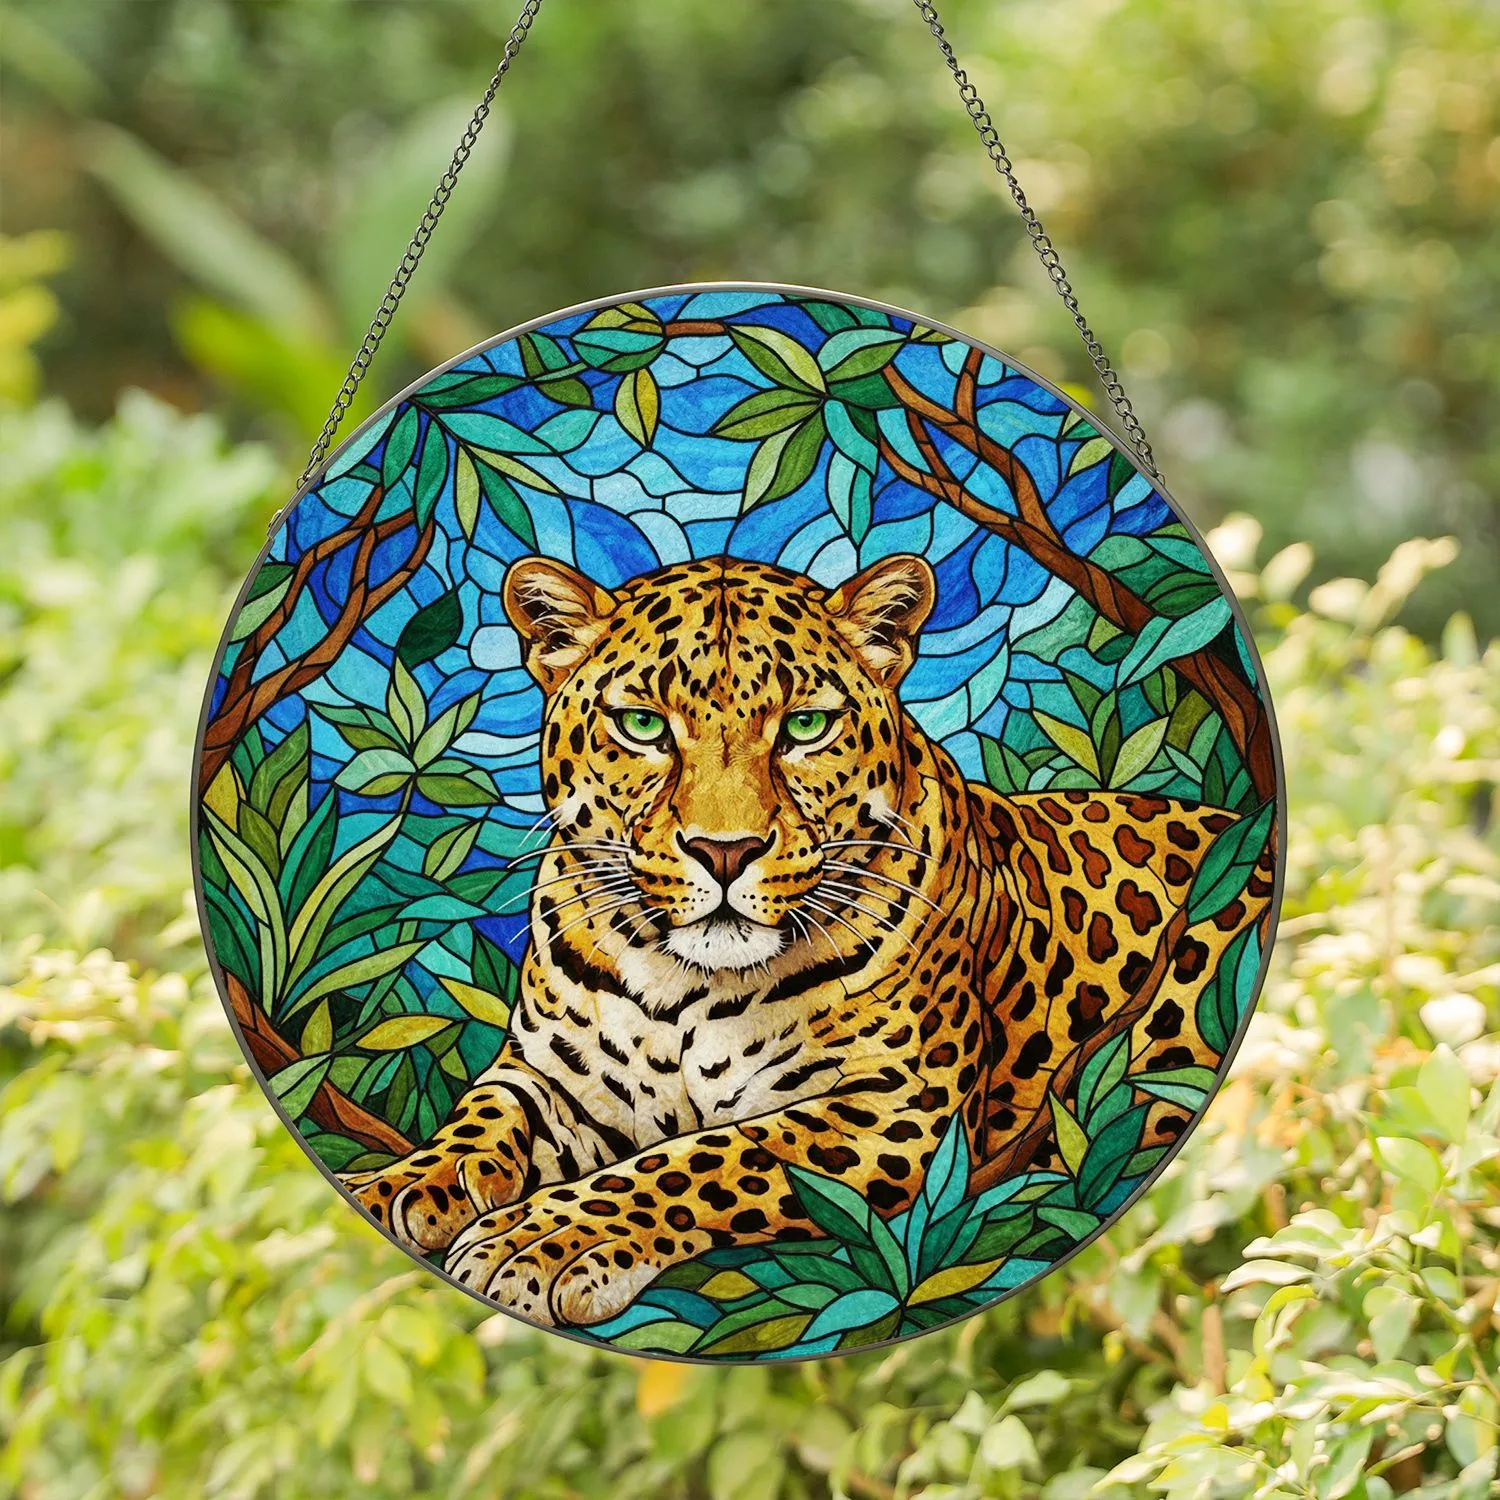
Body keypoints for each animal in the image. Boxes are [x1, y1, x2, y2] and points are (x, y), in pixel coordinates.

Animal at [341, 552, 1274, 1329]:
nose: (725, 851)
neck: (679, 984)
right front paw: (402, 1184)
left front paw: (542, 1241)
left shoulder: (890, 1108)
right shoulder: (557, 1076)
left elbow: (703, 1158)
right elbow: (484, 1114)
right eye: (643, 727)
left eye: (803, 728)